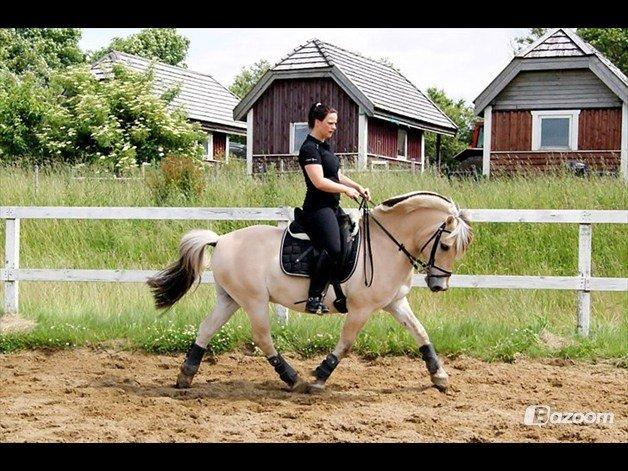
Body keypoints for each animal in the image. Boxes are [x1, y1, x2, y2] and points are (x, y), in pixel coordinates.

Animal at [146, 192, 472, 394]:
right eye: (445, 246)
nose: (439, 285)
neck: (386, 244)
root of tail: (221, 239)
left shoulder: (395, 302)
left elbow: (420, 332)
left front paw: (440, 377)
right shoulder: (362, 308)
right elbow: (346, 343)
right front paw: (319, 377)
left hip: (230, 299)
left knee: (207, 327)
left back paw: (186, 375)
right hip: (253, 301)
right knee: (262, 338)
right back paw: (294, 379)